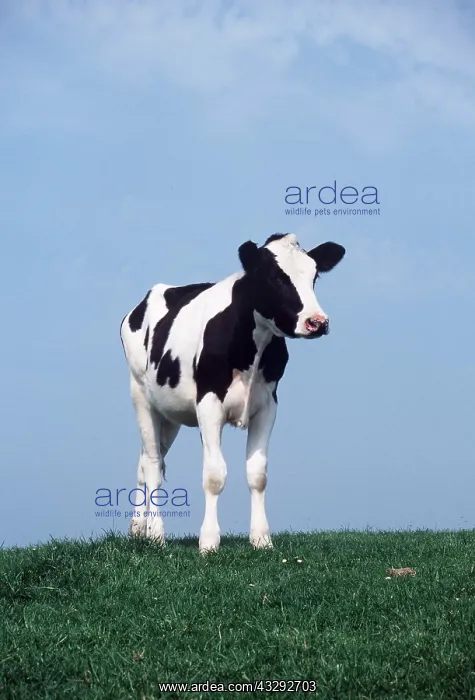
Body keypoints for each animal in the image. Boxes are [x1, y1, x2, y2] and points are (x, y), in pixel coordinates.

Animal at [120, 233, 345, 553]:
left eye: (314, 276)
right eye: (274, 277)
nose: (317, 322)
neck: (252, 348)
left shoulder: (268, 405)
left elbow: (258, 474)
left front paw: (261, 538)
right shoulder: (209, 403)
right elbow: (215, 475)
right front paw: (209, 541)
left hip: (170, 413)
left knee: (147, 460)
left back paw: (139, 528)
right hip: (140, 394)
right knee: (152, 465)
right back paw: (156, 534)